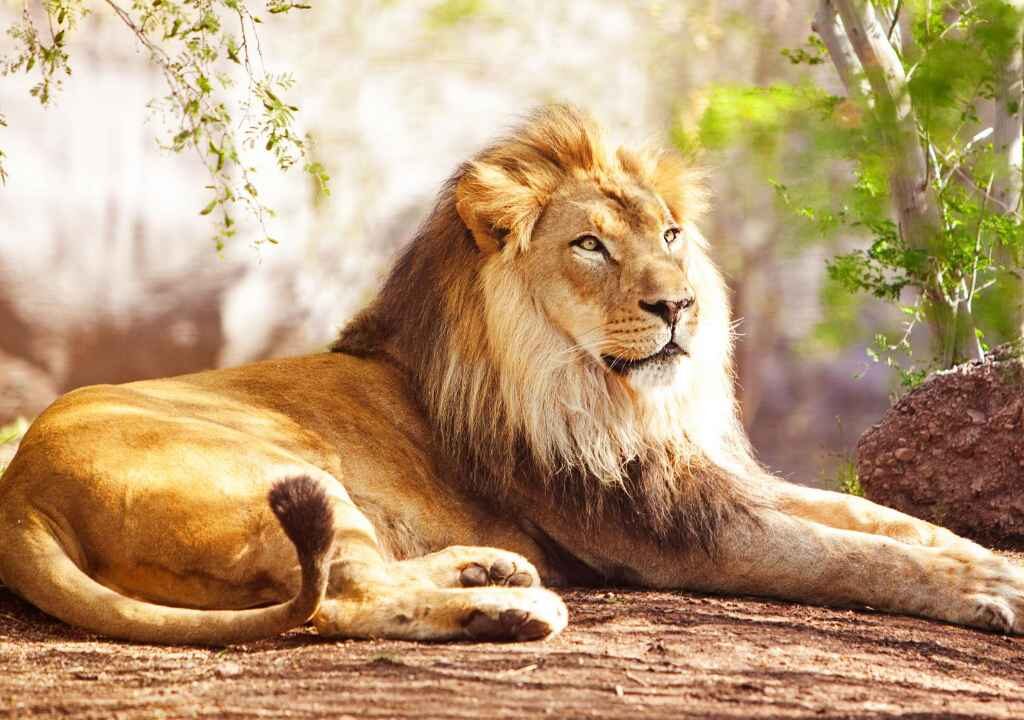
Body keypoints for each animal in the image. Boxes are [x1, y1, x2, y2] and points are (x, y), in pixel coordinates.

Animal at [1, 105, 1022, 645]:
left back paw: (484, 566)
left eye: (671, 234)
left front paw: (991, 560)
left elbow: (878, 518)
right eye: (589, 247)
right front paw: (990, 594)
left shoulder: (700, 479)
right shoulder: (668, 533)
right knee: (339, 599)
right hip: (277, 470)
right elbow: (848, 553)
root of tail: (20, 493)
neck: (609, 396)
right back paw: (513, 607)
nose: (680, 306)